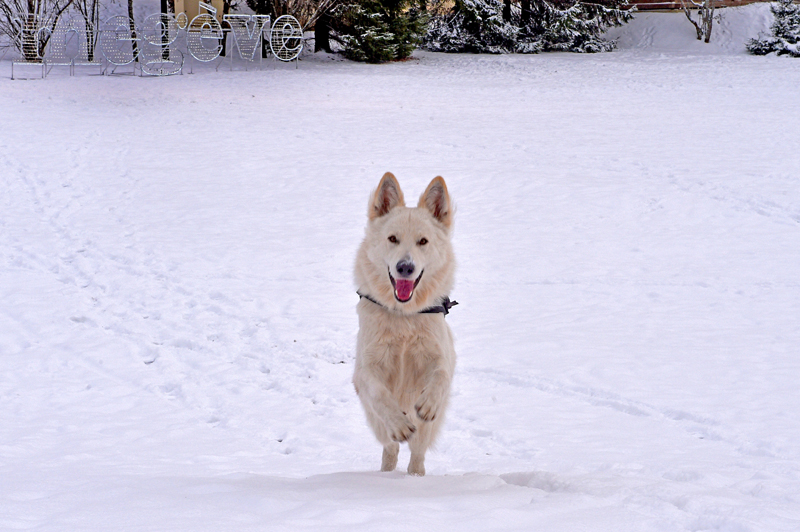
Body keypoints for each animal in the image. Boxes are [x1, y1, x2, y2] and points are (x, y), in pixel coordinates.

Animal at [354, 172, 460, 476]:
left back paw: (415, 477)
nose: (405, 267)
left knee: (418, 453)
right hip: (376, 424)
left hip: (426, 433)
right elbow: (378, 392)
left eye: (423, 241)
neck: (404, 316)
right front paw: (399, 424)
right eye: (392, 239)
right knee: (390, 446)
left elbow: (441, 374)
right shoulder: (365, 369)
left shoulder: (441, 355)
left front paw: (428, 403)